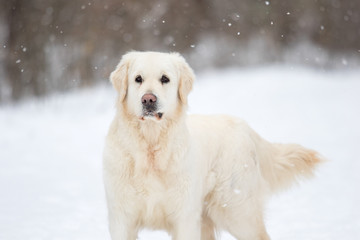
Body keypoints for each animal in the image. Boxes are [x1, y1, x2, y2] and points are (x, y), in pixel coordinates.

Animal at [102, 51, 322, 239]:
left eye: (165, 79)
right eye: (138, 79)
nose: (148, 100)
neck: (150, 144)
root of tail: (243, 126)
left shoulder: (185, 218)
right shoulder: (121, 219)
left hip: (237, 211)